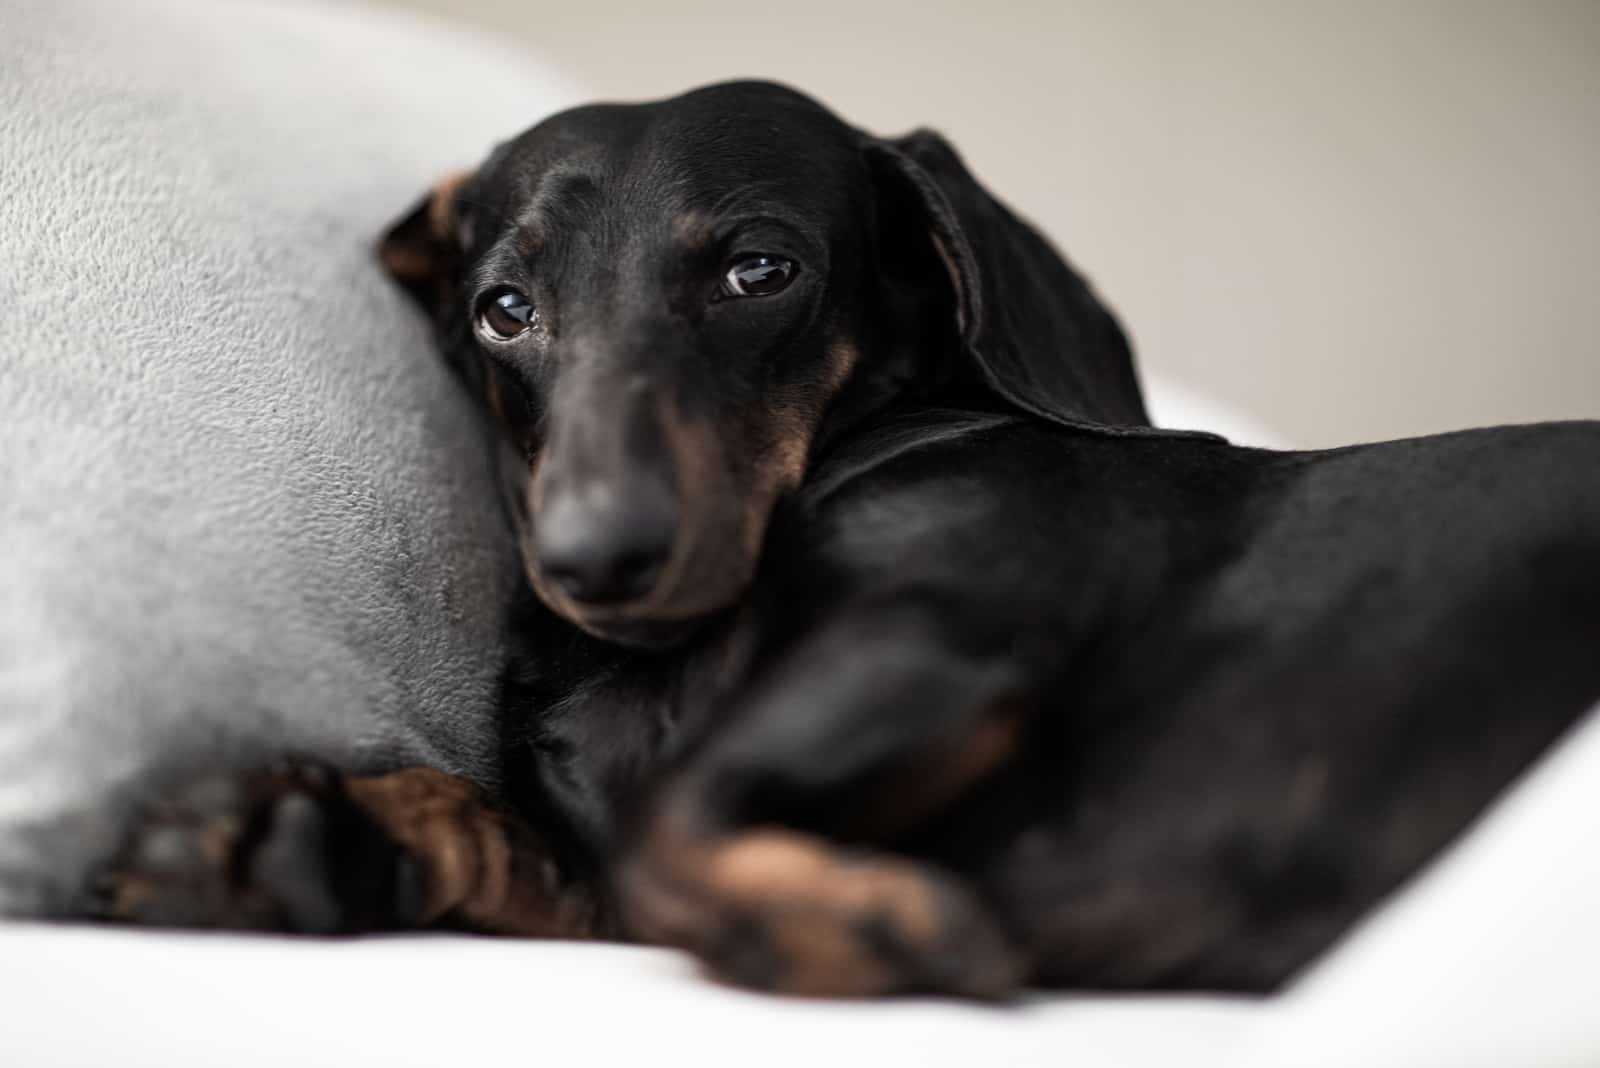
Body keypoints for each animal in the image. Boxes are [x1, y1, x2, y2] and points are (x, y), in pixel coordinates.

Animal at [96, 83, 1600, 1004]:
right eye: (501, 307)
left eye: (759, 269)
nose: (595, 559)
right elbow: (550, 844)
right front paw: (281, 836)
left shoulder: (942, 627)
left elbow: (667, 828)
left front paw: (870, 928)